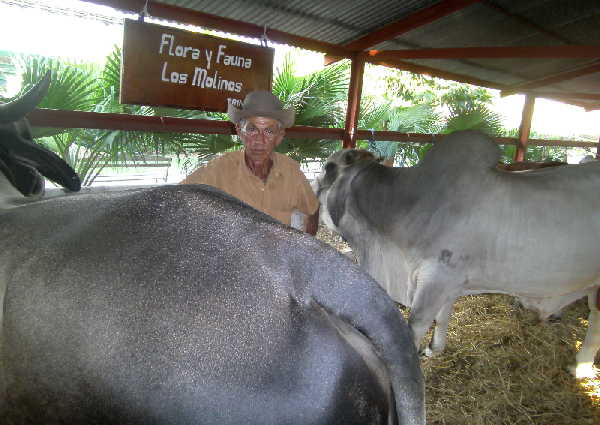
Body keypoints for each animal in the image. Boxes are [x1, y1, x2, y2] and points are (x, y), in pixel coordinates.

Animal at [314, 132, 600, 378]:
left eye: (328, 167)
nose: (314, 186)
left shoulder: (436, 279)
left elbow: (416, 325)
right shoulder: (448, 283)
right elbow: (442, 316)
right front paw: (434, 348)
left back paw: (580, 367)